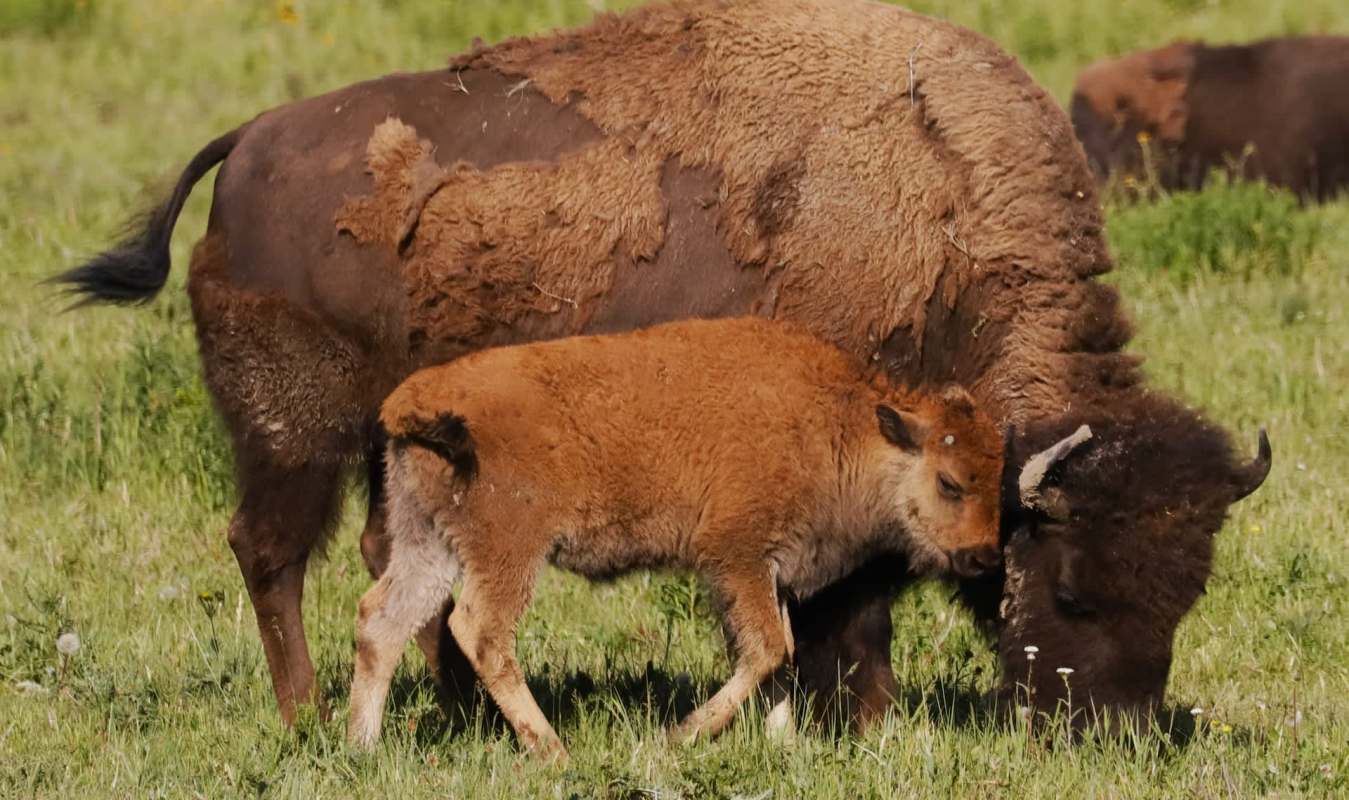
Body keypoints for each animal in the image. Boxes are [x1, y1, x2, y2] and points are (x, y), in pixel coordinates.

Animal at [349, 316, 1008, 760]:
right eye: (950, 482)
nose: (982, 556)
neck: (841, 425)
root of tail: (414, 400)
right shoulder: (737, 557)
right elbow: (767, 650)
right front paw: (682, 734)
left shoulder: (767, 573)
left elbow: (781, 656)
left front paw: (781, 745)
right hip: (509, 550)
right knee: (480, 631)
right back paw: (553, 751)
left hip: (428, 542)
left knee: (382, 620)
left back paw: (363, 744)